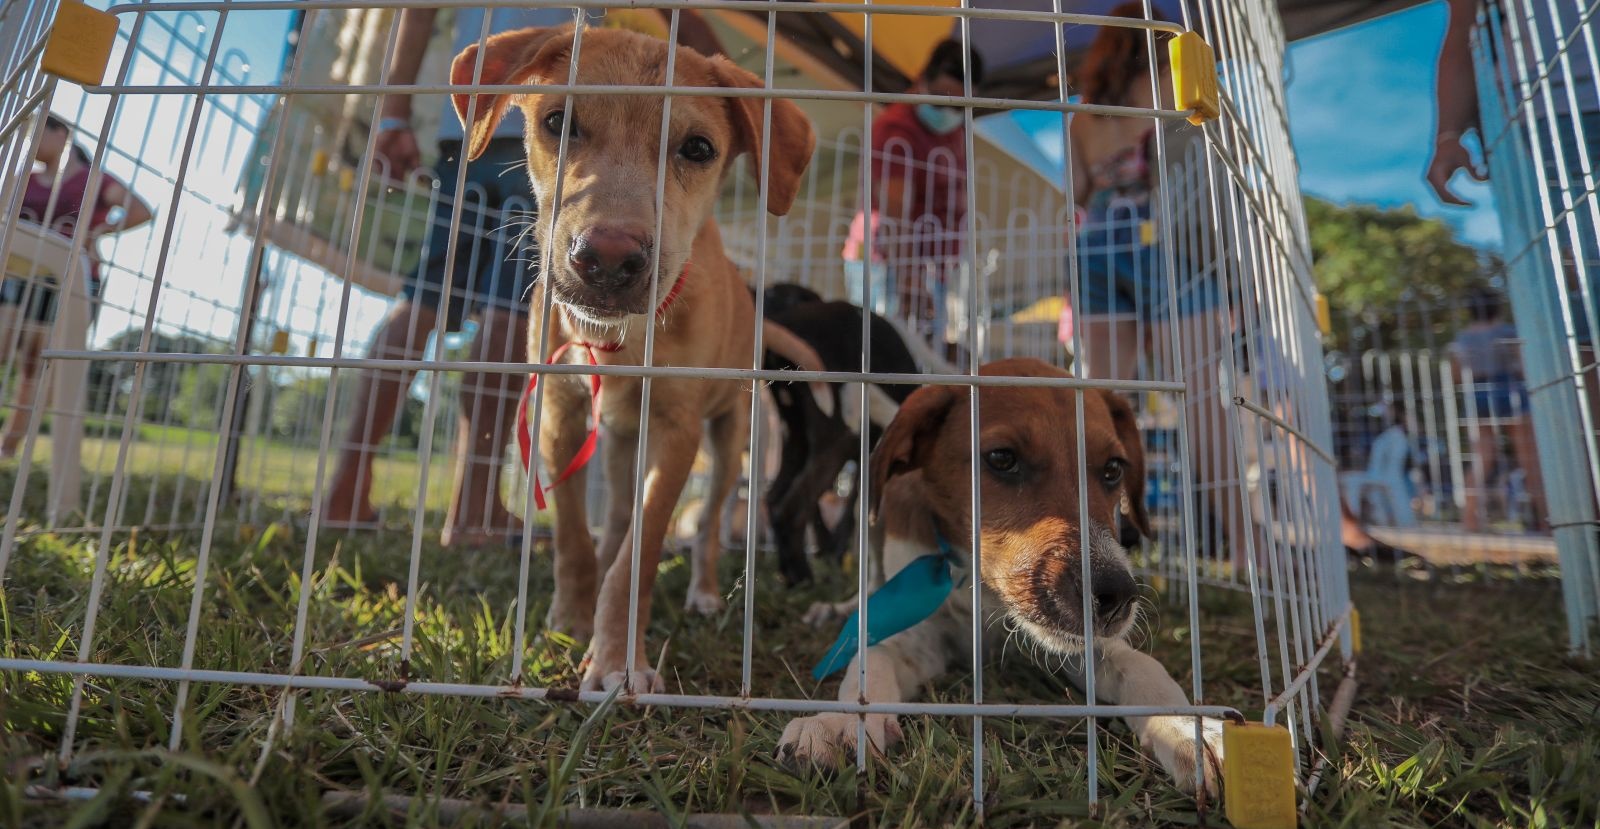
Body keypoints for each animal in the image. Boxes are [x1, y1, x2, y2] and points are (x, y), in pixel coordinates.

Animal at [451, 26, 819, 694]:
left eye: (697, 148)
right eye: (558, 122)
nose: (607, 260)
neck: (622, 339)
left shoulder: (677, 430)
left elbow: (641, 554)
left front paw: (617, 662)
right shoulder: (559, 412)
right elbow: (574, 536)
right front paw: (569, 621)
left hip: (731, 437)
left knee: (709, 525)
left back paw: (703, 594)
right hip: (623, 441)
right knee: (619, 514)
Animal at [784, 356, 1222, 793]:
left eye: (1113, 468)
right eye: (1001, 459)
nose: (1117, 597)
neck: (984, 594)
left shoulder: (1083, 647)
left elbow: (1143, 667)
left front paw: (1189, 729)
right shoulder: (917, 638)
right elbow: (869, 661)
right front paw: (840, 721)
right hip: (870, 533)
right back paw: (836, 609)